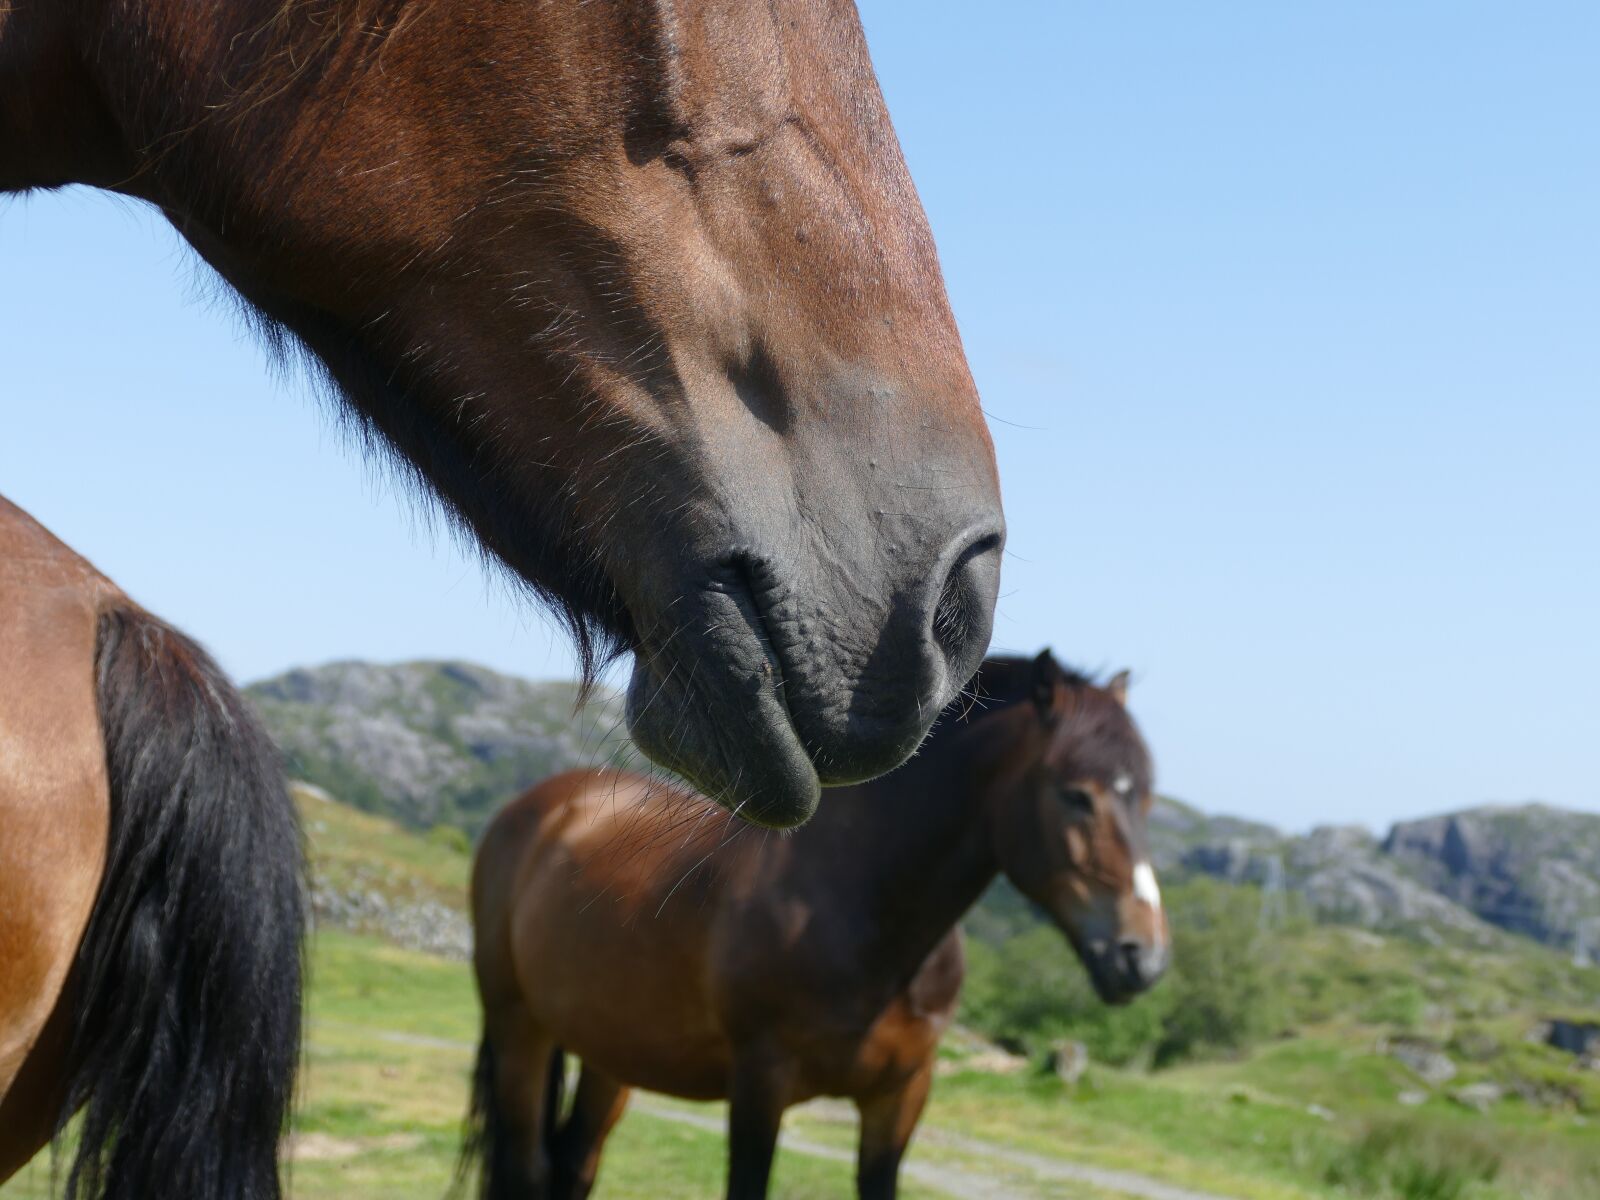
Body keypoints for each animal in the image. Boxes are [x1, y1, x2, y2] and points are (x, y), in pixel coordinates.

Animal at [466, 651, 1169, 1200]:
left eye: (1143, 797)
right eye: (1076, 794)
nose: (1144, 957)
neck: (859, 911)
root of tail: (547, 806)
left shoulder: (899, 1098)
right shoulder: (759, 1087)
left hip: (610, 1053)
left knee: (574, 1165)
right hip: (518, 1026)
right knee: (527, 1170)